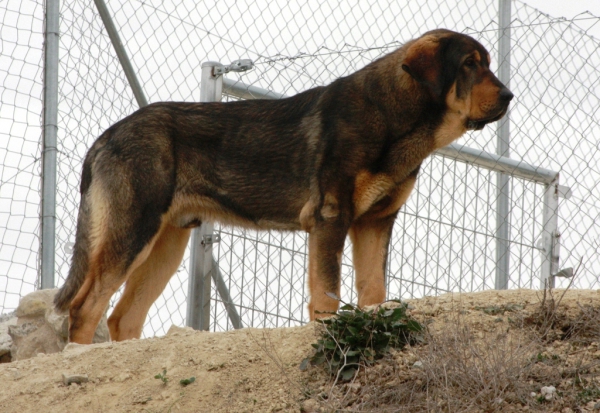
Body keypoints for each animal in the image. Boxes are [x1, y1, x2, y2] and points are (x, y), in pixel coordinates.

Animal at [54, 29, 510, 342]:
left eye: (488, 63)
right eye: (470, 64)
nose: (509, 96)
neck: (394, 116)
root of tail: (107, 135)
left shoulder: (375, 223)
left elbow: (373, 291)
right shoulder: (331, 218)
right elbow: (327, 294)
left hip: (166, 245)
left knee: (122, 316)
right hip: (134, 231)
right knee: (86, 307)